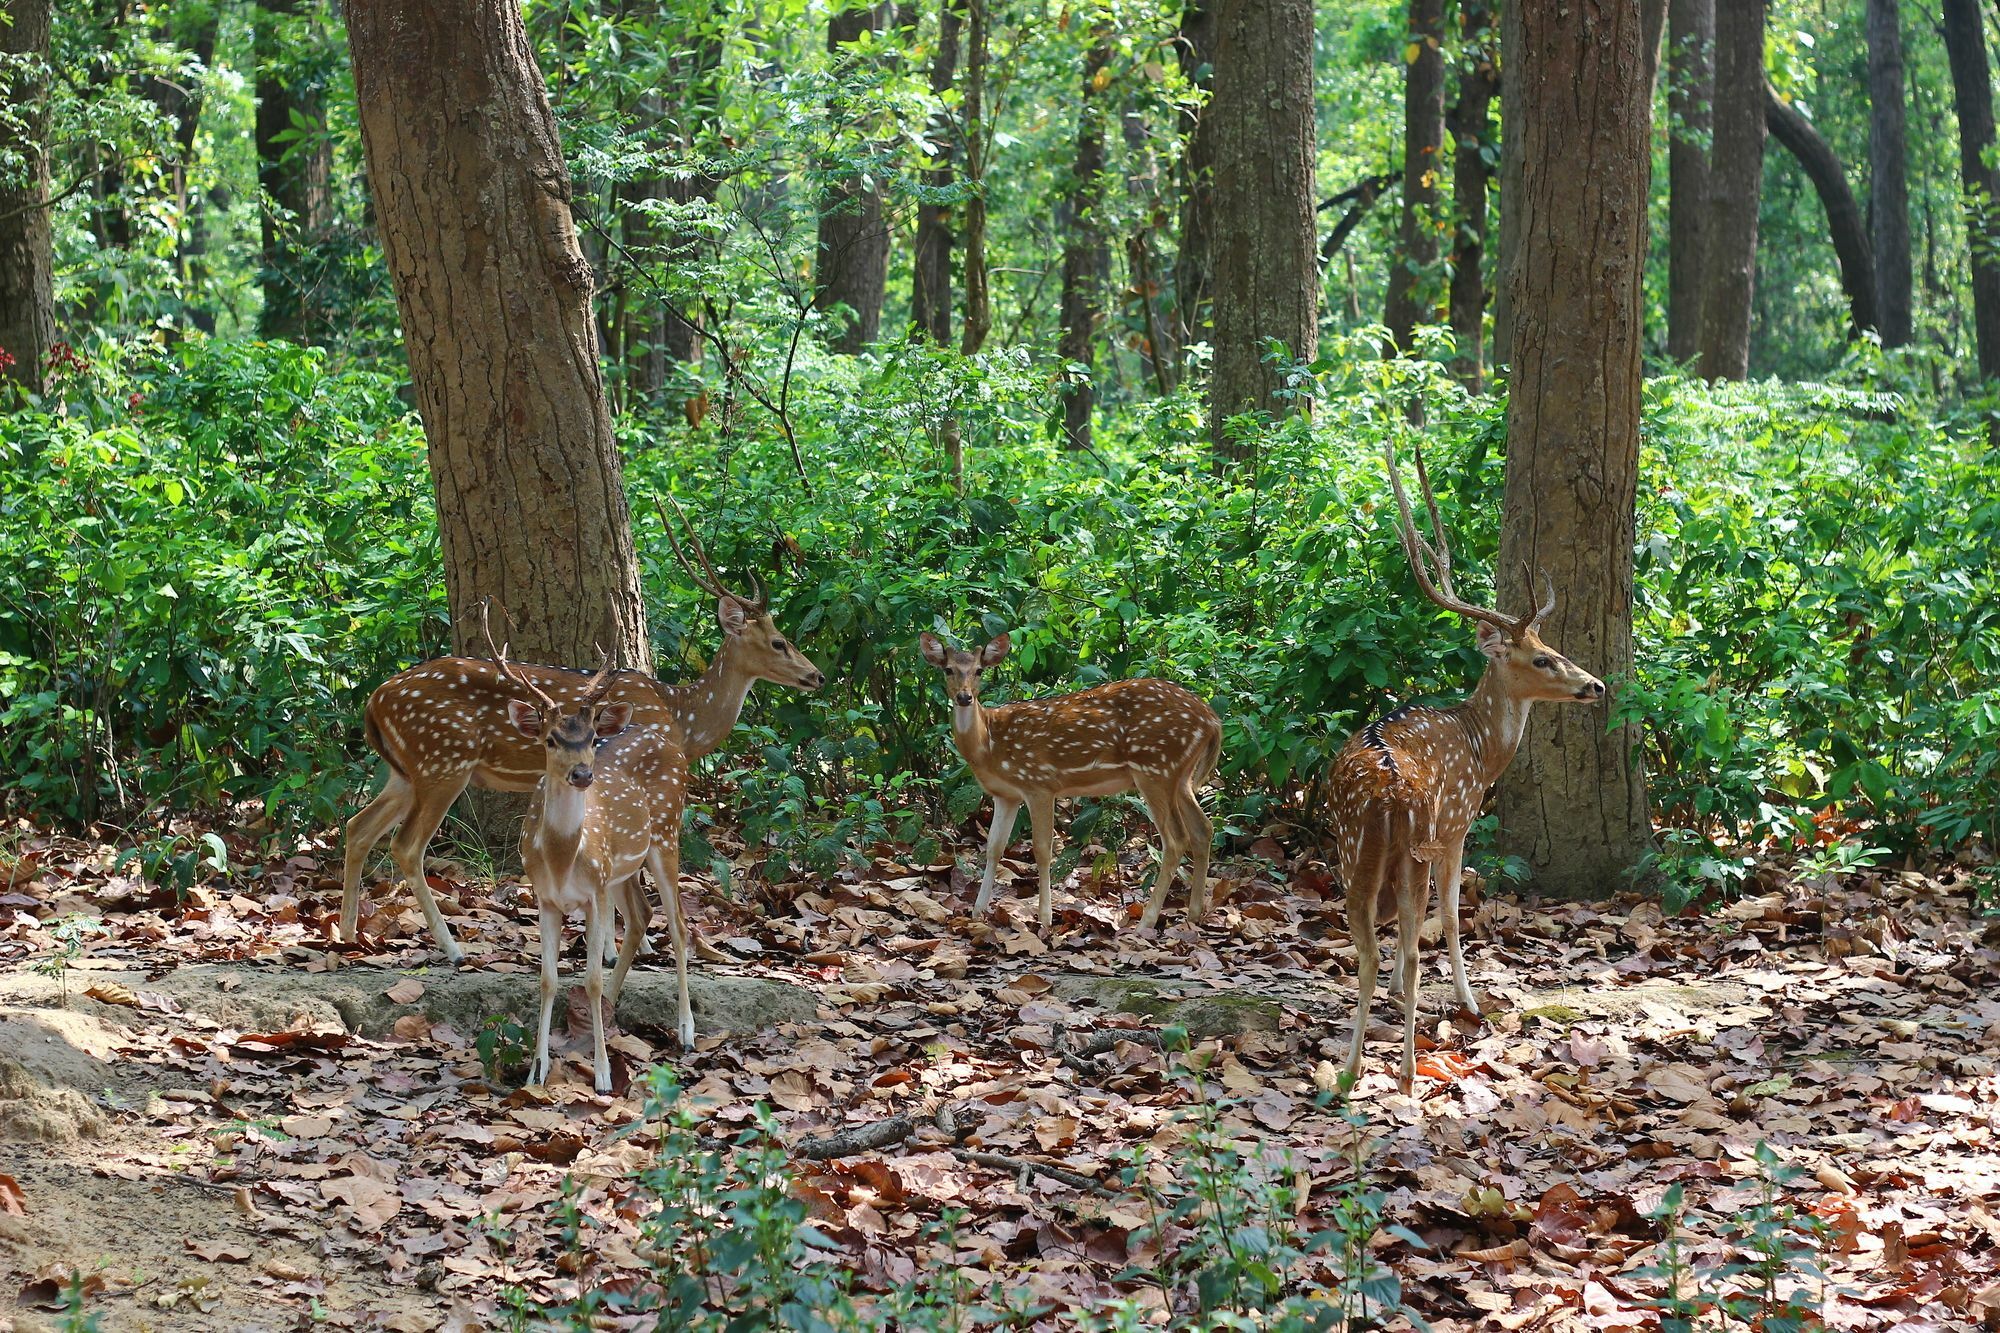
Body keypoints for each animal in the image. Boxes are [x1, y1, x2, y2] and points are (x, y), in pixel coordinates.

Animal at [336, 498, 820, 956]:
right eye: (779, 642)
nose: (816, 675)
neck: (680, 716)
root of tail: (374, 703)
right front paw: (614, 948)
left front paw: (630, 945)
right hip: (444, 760)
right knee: (405, 845)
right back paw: (451, 949)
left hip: (406, 771)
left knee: (358, 827)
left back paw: (347, 934)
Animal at [916, 632, 1216, 924]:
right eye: (948, 669)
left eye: (979, 670)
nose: (964, 697)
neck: (988, 744)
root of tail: (1212, 721)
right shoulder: (1006, 794)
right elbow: (994, 848)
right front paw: (978, 911)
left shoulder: (1038, 783)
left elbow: (1042, 849)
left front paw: (1046, 919)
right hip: (1180, 776)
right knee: (1203, 828)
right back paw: (1194, 914)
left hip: (1155, 767)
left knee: (1176, 840)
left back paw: (1147, 921)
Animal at [1328, 438, 1608, 1088]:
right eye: (1542, 658)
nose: (1597, 685)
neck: (1482, 747)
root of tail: (1388, 795)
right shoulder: (1458, 825)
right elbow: (1454, 917)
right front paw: (1469, 1002)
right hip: (1400, 842)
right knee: (1392, 943)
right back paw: (1386, 1072)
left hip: (1367, 850)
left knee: (1382, 944)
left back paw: (1376, 1068)